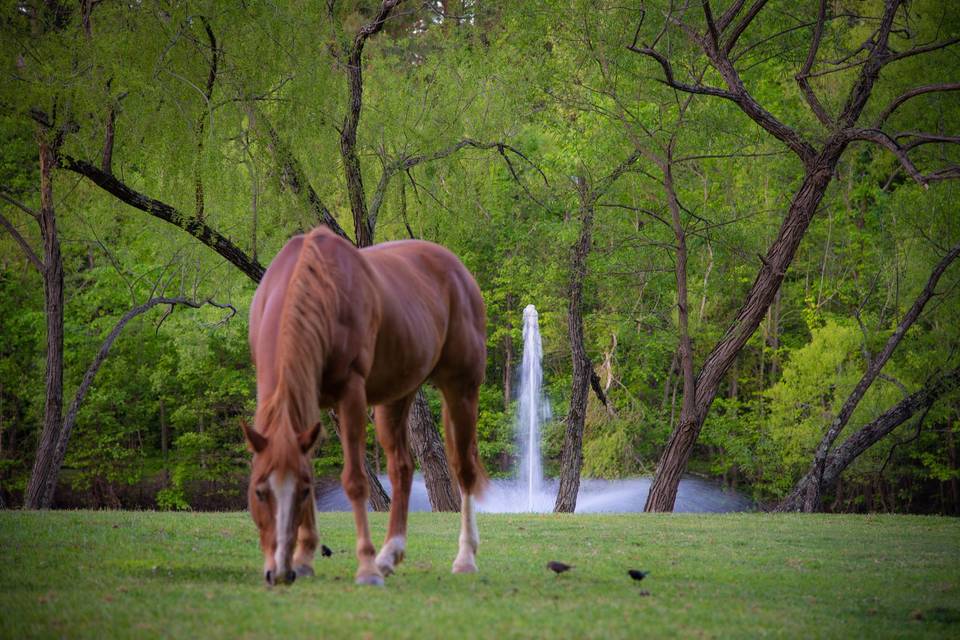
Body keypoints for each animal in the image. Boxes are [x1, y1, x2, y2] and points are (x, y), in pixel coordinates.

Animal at [244, 226, 488, 584]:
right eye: (259, 492)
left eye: (300, 492)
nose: (279, 572)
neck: (315, 284)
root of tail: (458, 270)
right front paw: (304, 558)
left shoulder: (351, 394)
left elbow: (356, 480)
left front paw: (366, 567)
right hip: (396, 399)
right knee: (401, 468)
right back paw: (390, 554)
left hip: (461, 389)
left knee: (464, 469)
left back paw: (465, 558)